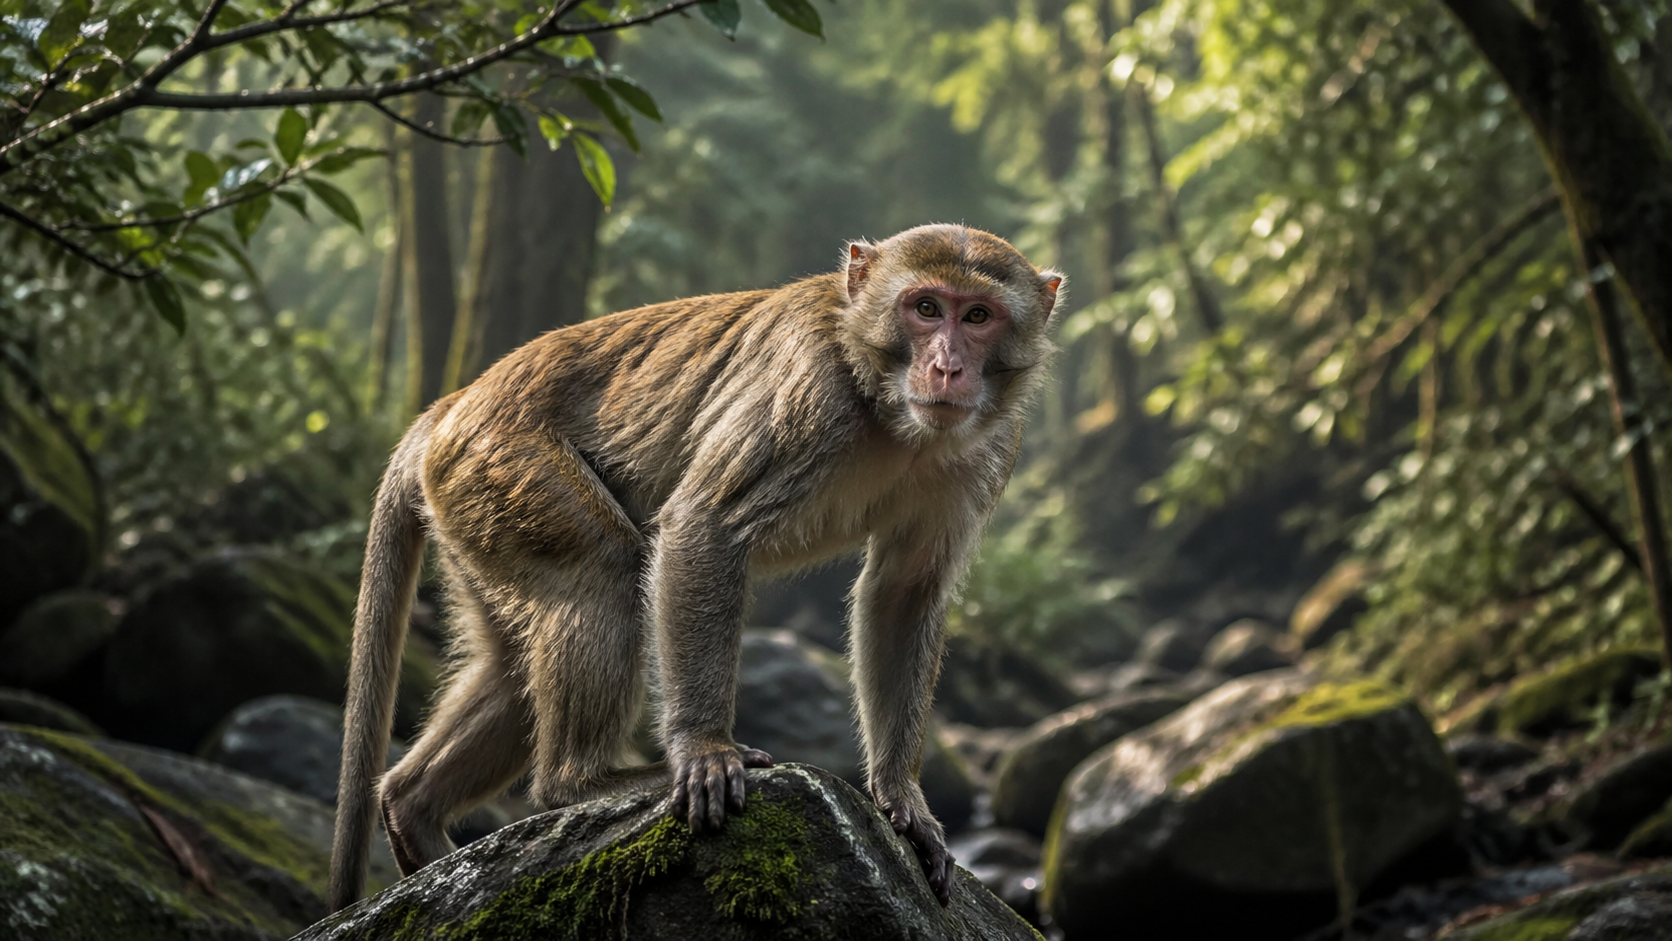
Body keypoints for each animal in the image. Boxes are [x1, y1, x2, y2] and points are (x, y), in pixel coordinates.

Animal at [327, 223, 1063, 913]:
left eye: (978, 316)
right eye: (926, 308)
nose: (947, 367)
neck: (877, 392)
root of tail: (451, 406)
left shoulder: (990, 446)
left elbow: (905, 593)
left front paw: (902, 798)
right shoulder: (807, 394)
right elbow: (704, 528)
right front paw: (706, 750)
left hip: (471, 510)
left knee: (511, 672)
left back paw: (413, 809)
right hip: (501, 465)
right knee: (604, 570)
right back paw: (582, 782)